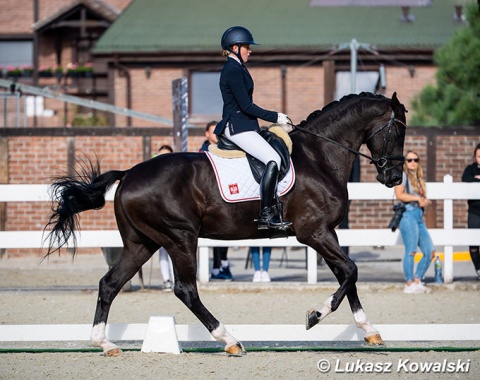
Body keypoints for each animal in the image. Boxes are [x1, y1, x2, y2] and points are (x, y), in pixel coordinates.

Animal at [45, 92, 404, 356]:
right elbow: (351, 271)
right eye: (397, 130)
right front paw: (314, 316)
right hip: (179, 238)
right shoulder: (313, 232)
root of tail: (129, 174)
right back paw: (229, 340)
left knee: (110, 284)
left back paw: (104, 343)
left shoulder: (327, 233)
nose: (394, 177)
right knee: (186, 290)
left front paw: (369, 330)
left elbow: (348, 274)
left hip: (142, 243)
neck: (319, 156)